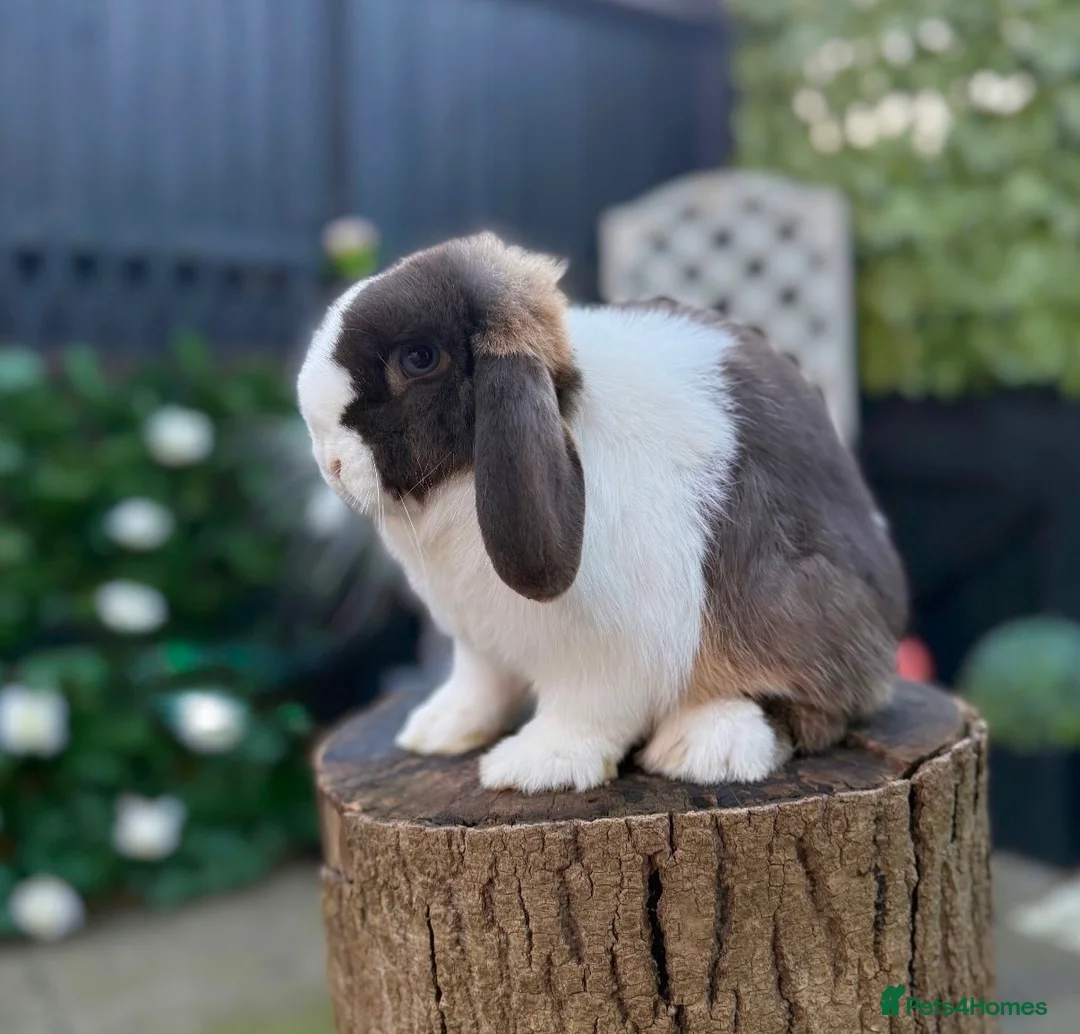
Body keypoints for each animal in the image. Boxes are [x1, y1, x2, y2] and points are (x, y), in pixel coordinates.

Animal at [296, 231, 908, 794]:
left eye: (418, 359)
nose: (329, 464)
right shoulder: (478, 641)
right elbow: (480, 686)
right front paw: (438, 731)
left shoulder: (606, 656)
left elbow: (583, 713)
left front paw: (531, 767)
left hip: (800, 599)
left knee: (811, 705)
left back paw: (707, 746)